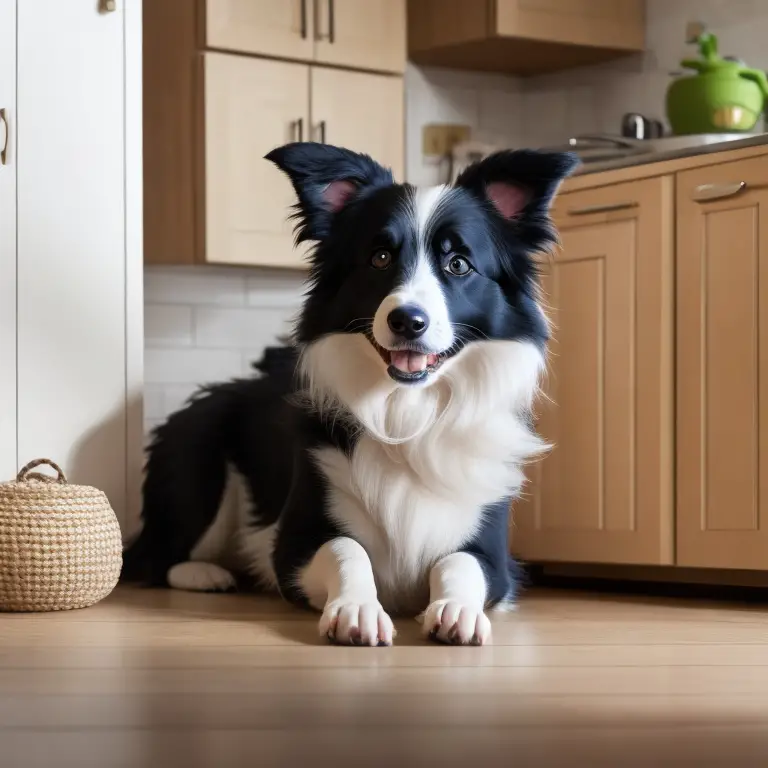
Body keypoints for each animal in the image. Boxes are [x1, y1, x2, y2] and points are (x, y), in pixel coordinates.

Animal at [124, 141, 576, 644]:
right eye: (379, 257)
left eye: (458, 264)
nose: (408, 321)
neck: (406, 410)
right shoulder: (294, 546)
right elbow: (345, 549)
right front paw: (356, 609)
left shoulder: (496, 559)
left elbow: (460, 563)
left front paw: (456, 609)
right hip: (196, 452)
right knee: (155, 557)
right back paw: (205, 574)